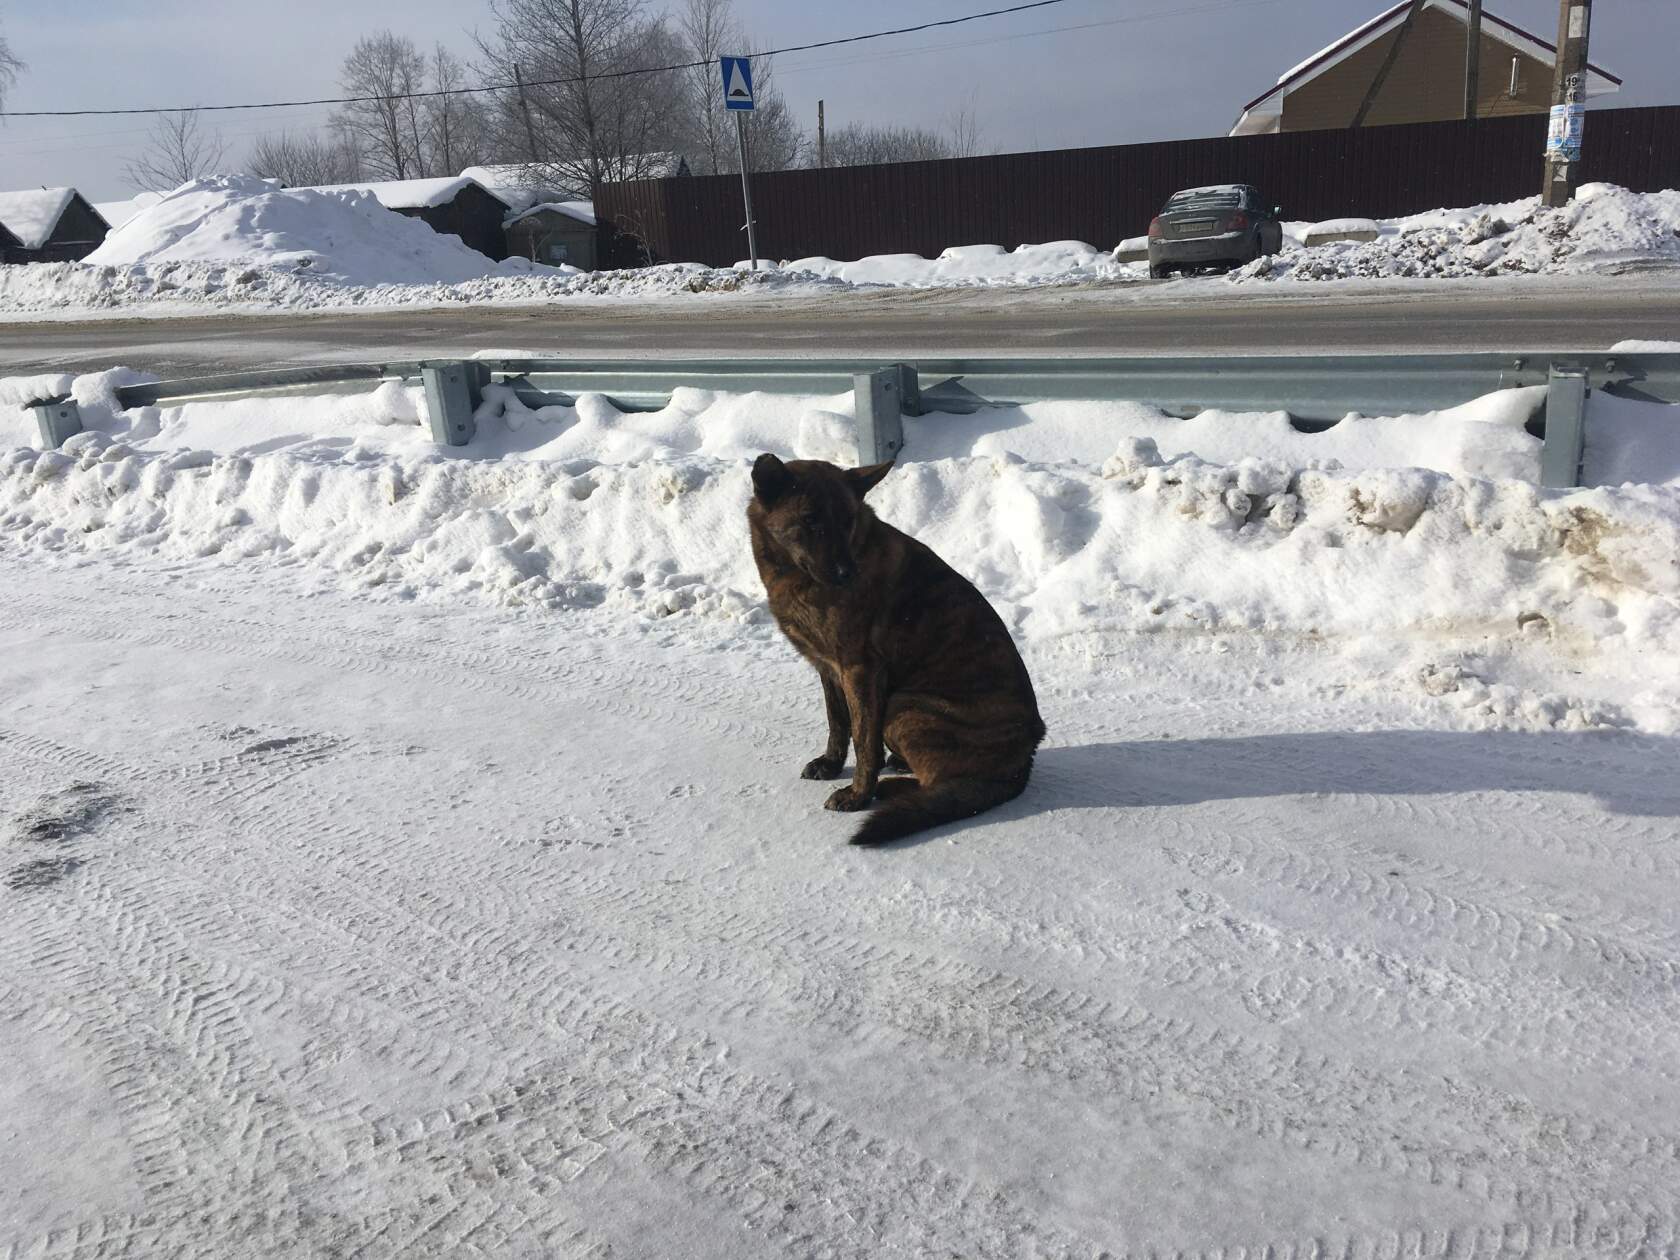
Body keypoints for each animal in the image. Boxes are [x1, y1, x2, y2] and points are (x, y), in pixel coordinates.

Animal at [748, 454, 1046, 845]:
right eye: (810, 519)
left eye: (848, 520)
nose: (846, 573)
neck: (795, 574)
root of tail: (1022, 766)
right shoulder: (829, 669)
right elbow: (837, 722)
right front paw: (830, 764)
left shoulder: (859, 670)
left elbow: (863, 740)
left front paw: (857, 794)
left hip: (902, 708)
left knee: (935, 782)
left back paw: (886, 789)